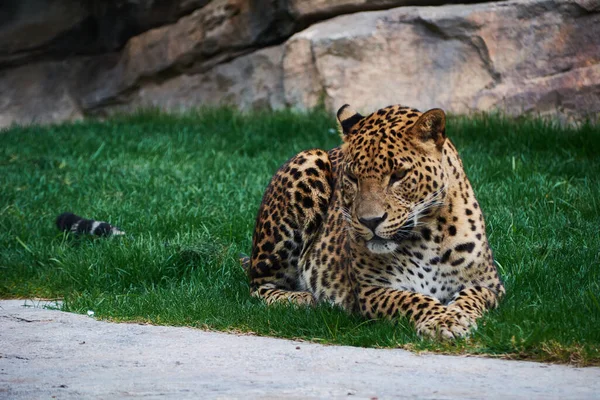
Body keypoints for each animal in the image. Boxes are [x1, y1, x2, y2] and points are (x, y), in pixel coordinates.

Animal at [241, 102, 504, 338]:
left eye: (398, 175)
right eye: (351, 177)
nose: (370, 221)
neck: (429, 234)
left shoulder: (491, 286)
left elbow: (471, 297)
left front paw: (454, 317)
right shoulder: (372, 289)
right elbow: (412, 299)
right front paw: (442, 320)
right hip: (308, 162)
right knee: (259, 285)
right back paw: (300, 298)